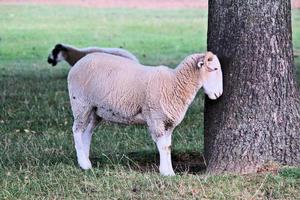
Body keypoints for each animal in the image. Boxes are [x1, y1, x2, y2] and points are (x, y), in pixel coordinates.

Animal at [67, 51, 223, 175]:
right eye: (214, 68)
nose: (219, 94)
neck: (174, 83)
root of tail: (79, 63)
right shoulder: (156, 118)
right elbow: (163, 146)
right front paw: (165, 172)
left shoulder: (168, 122)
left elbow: (168, 146)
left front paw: (170, 171)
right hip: (80, 102)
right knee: (77, 130)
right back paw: (83, 162)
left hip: (95, 109)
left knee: (87, 131)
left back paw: (86, 161)